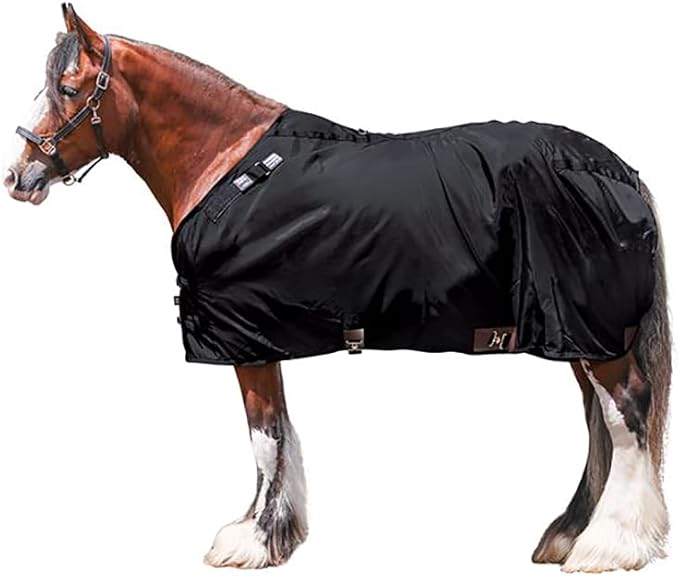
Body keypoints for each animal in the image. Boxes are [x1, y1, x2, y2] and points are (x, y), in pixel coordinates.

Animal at [4, 4, 671, 572]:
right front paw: (272, 531)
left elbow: (265, 437)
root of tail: (619, 170)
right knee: (598, 421)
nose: (18, 176)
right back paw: (568, 534)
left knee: (627, 415)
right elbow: (275, 435)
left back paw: (609, 546)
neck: (229, 165)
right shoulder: (261, 338)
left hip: (593, 335)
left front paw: (252, 542)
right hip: (576, 336)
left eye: (67, 89)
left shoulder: (244, 338)